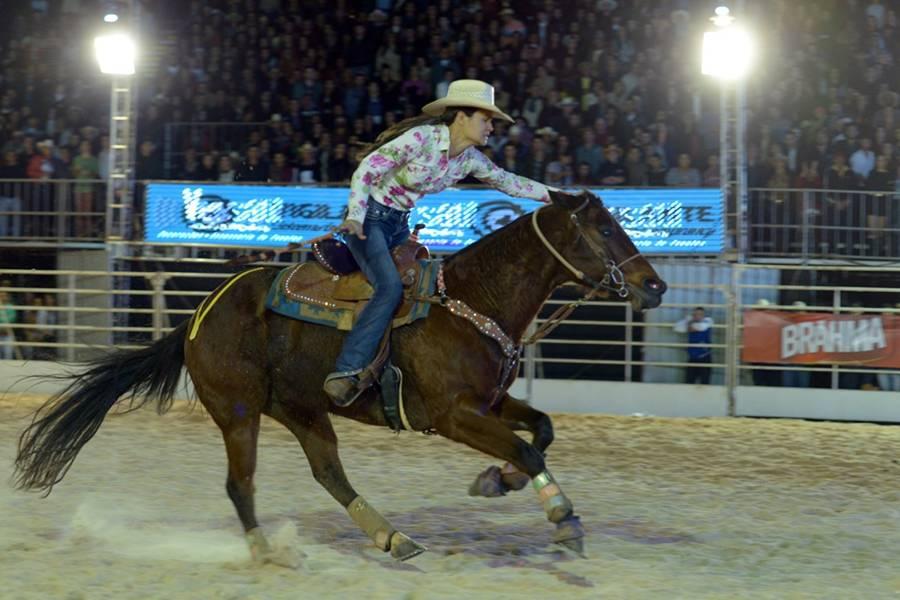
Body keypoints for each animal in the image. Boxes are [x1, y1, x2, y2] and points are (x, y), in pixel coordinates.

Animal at [10, 191, 664, 564]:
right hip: (239, 411)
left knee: (328, 472)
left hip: (302, 409)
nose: (654, 285)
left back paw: (392, 538)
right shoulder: (455, 415)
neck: (472, 301)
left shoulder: (489, 404)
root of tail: (199, 315)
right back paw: (267, 553)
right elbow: (530, 451)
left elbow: (543, 430)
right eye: (605, 228)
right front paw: (563, 521)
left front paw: (494, 482)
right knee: (240, 485)